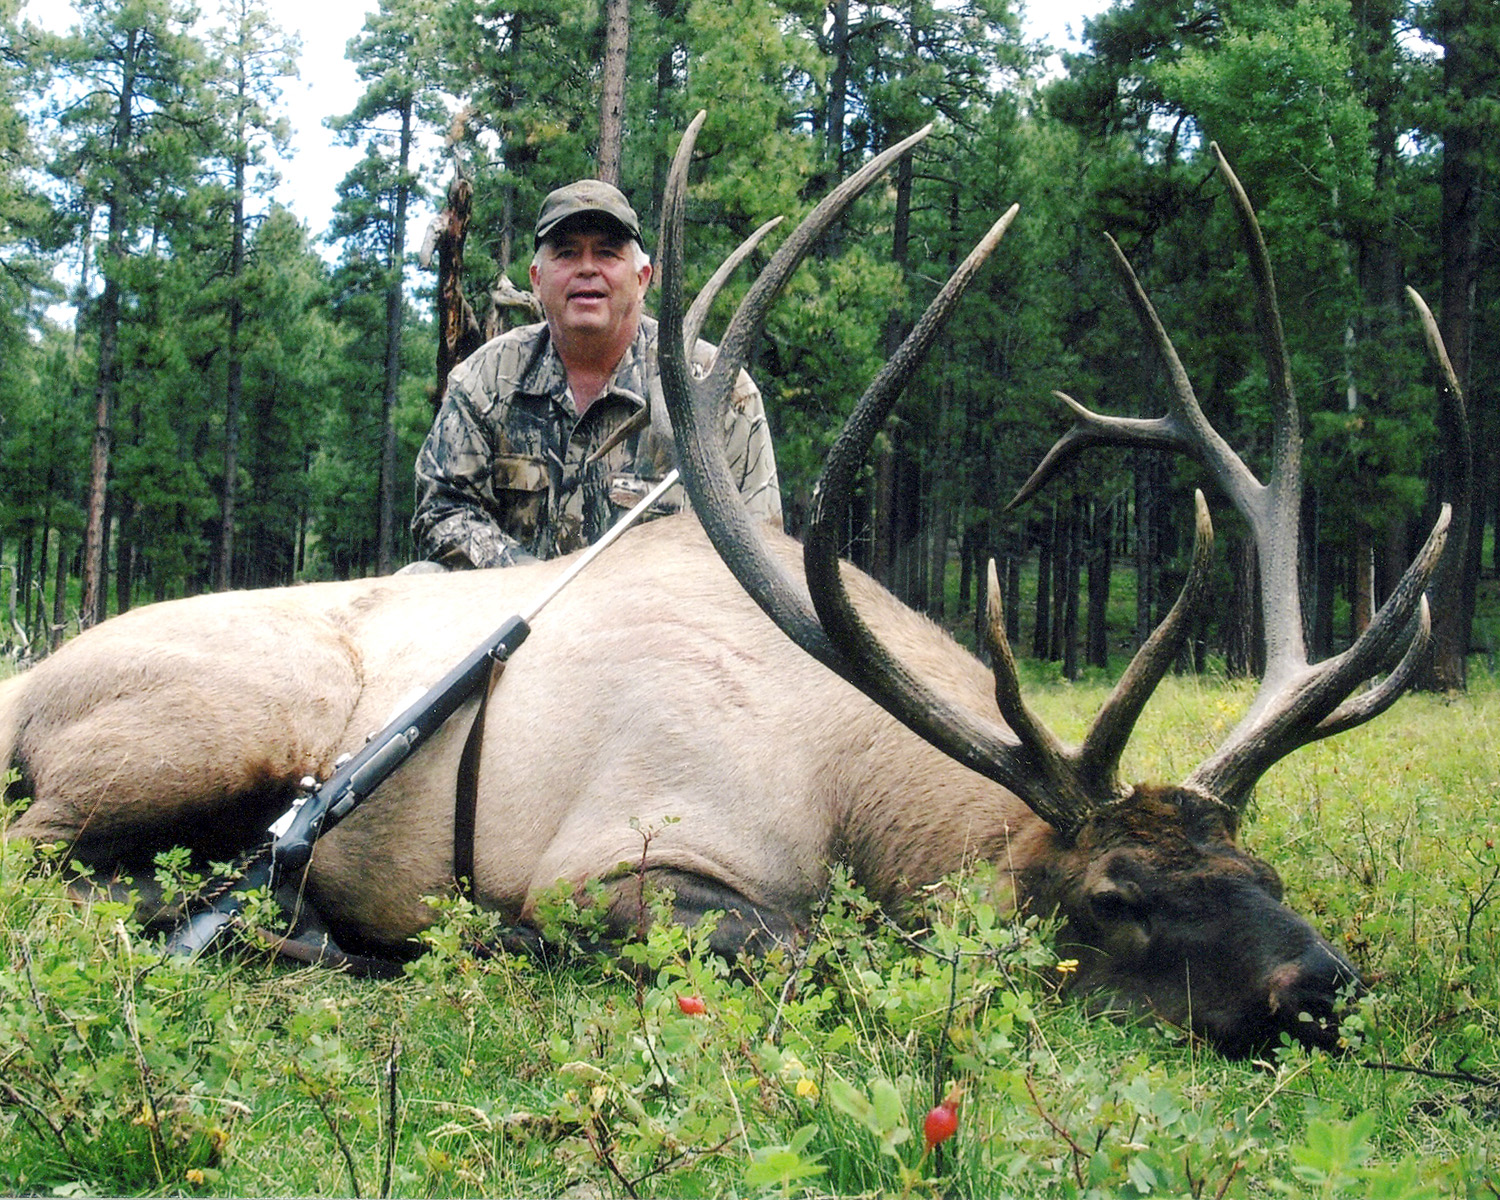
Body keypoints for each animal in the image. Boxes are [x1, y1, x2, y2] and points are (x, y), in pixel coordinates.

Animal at [0, 117, 1465, 1059]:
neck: (843, 791)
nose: (1321, 983)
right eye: (1113, 898)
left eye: (1257, 861)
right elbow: (813, 952)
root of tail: (21, 685)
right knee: (49, 863)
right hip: (227, 723)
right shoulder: (605, 862)